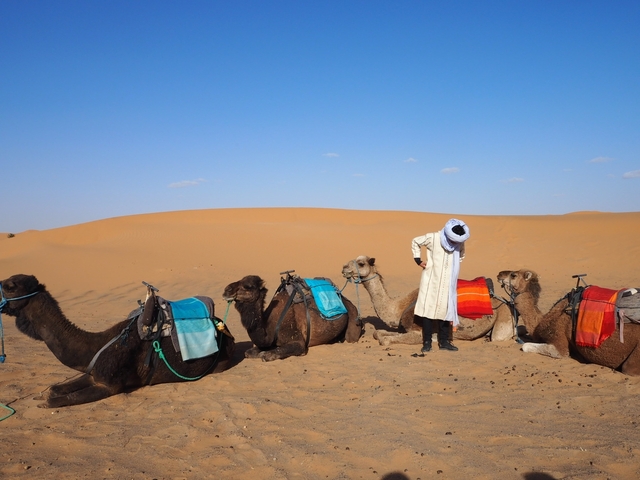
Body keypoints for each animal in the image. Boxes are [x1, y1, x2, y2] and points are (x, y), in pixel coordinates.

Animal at [0, 274, 235, 408]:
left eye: (10, 286)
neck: (96, 344)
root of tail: (224, 327)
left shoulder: (110, 385)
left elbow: (56, 400)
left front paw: (43, 402)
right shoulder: (94, 373)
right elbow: (55, 389)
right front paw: (43, 395)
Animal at [223, 274, 363, 361]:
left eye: (248, 286)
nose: (226, 290)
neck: (271, 325)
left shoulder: (298, 341)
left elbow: (268, 354)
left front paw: (266, 354)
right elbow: (248, 352)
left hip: (353, 319)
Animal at [341, 256, 541, 346]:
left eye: (361, 263)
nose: (344, 268)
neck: (398, 307)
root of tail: (507, 302)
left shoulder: (418, 331)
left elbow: (385, 339)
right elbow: (378, 334)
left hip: (503, 320)